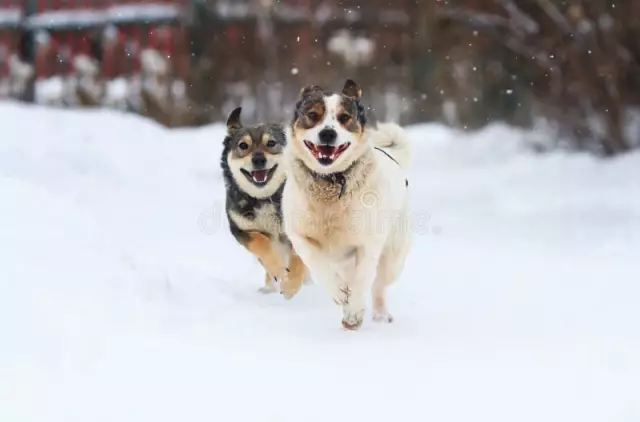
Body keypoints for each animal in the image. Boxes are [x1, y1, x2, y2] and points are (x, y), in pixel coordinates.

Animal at [282, 79, 412, 330]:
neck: (330, 182)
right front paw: (340, 294)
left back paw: (378, 314)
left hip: (393, 257)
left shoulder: (367, 244)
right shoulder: (300, 236)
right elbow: (318, 265)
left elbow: (363, 280)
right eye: (313, 115)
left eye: (344, 117)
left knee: (378, 284)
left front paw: (354, 313)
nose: (328, 133)